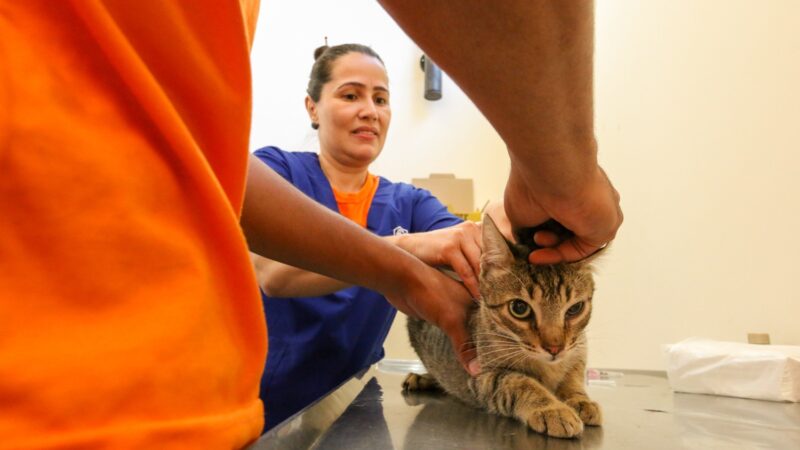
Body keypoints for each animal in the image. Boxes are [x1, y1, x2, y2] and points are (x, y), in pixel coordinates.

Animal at [410, 216, 604, 438]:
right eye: (519, 308)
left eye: (575, 309)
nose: (555, 348)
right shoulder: (482, 378)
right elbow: (519, 383)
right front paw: (553, 409)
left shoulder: (577, 351)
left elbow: (573, 376)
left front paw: (580, 399)